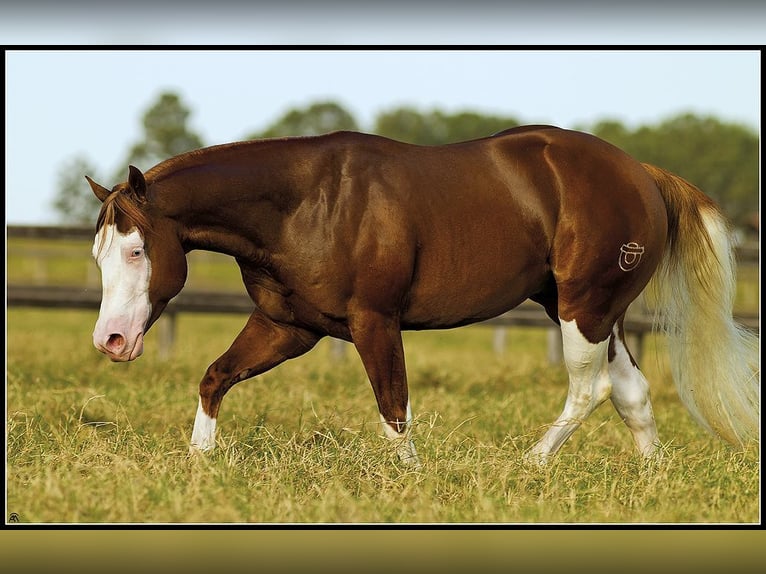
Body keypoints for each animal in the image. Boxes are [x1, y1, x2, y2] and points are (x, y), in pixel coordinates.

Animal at [87, 125, 760, 468]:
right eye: (99, 254)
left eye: (137, 250)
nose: (111, 341)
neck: (305, 204)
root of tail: (642, 173)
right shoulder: (289, 325)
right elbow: (215, 376)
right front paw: (199, 463)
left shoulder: (374, 322)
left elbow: (393, 411)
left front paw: (405, 484)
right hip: (591, 310)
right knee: (632, 392)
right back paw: (648, 480)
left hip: (584, 308)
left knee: (590, 390)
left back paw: (531, 464)